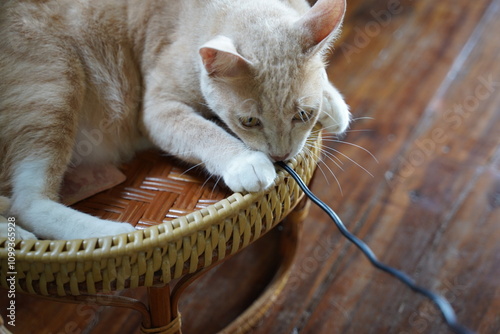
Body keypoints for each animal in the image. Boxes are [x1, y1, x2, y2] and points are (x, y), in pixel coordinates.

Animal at [0, 0, 350, 240]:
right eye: (249, 121)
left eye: (303, 115)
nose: (280, 156)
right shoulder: (158, 110)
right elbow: (202, 131)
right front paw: (245, 161)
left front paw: (333, 103)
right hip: (54, 85)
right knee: (26, 204)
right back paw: (110, 234)